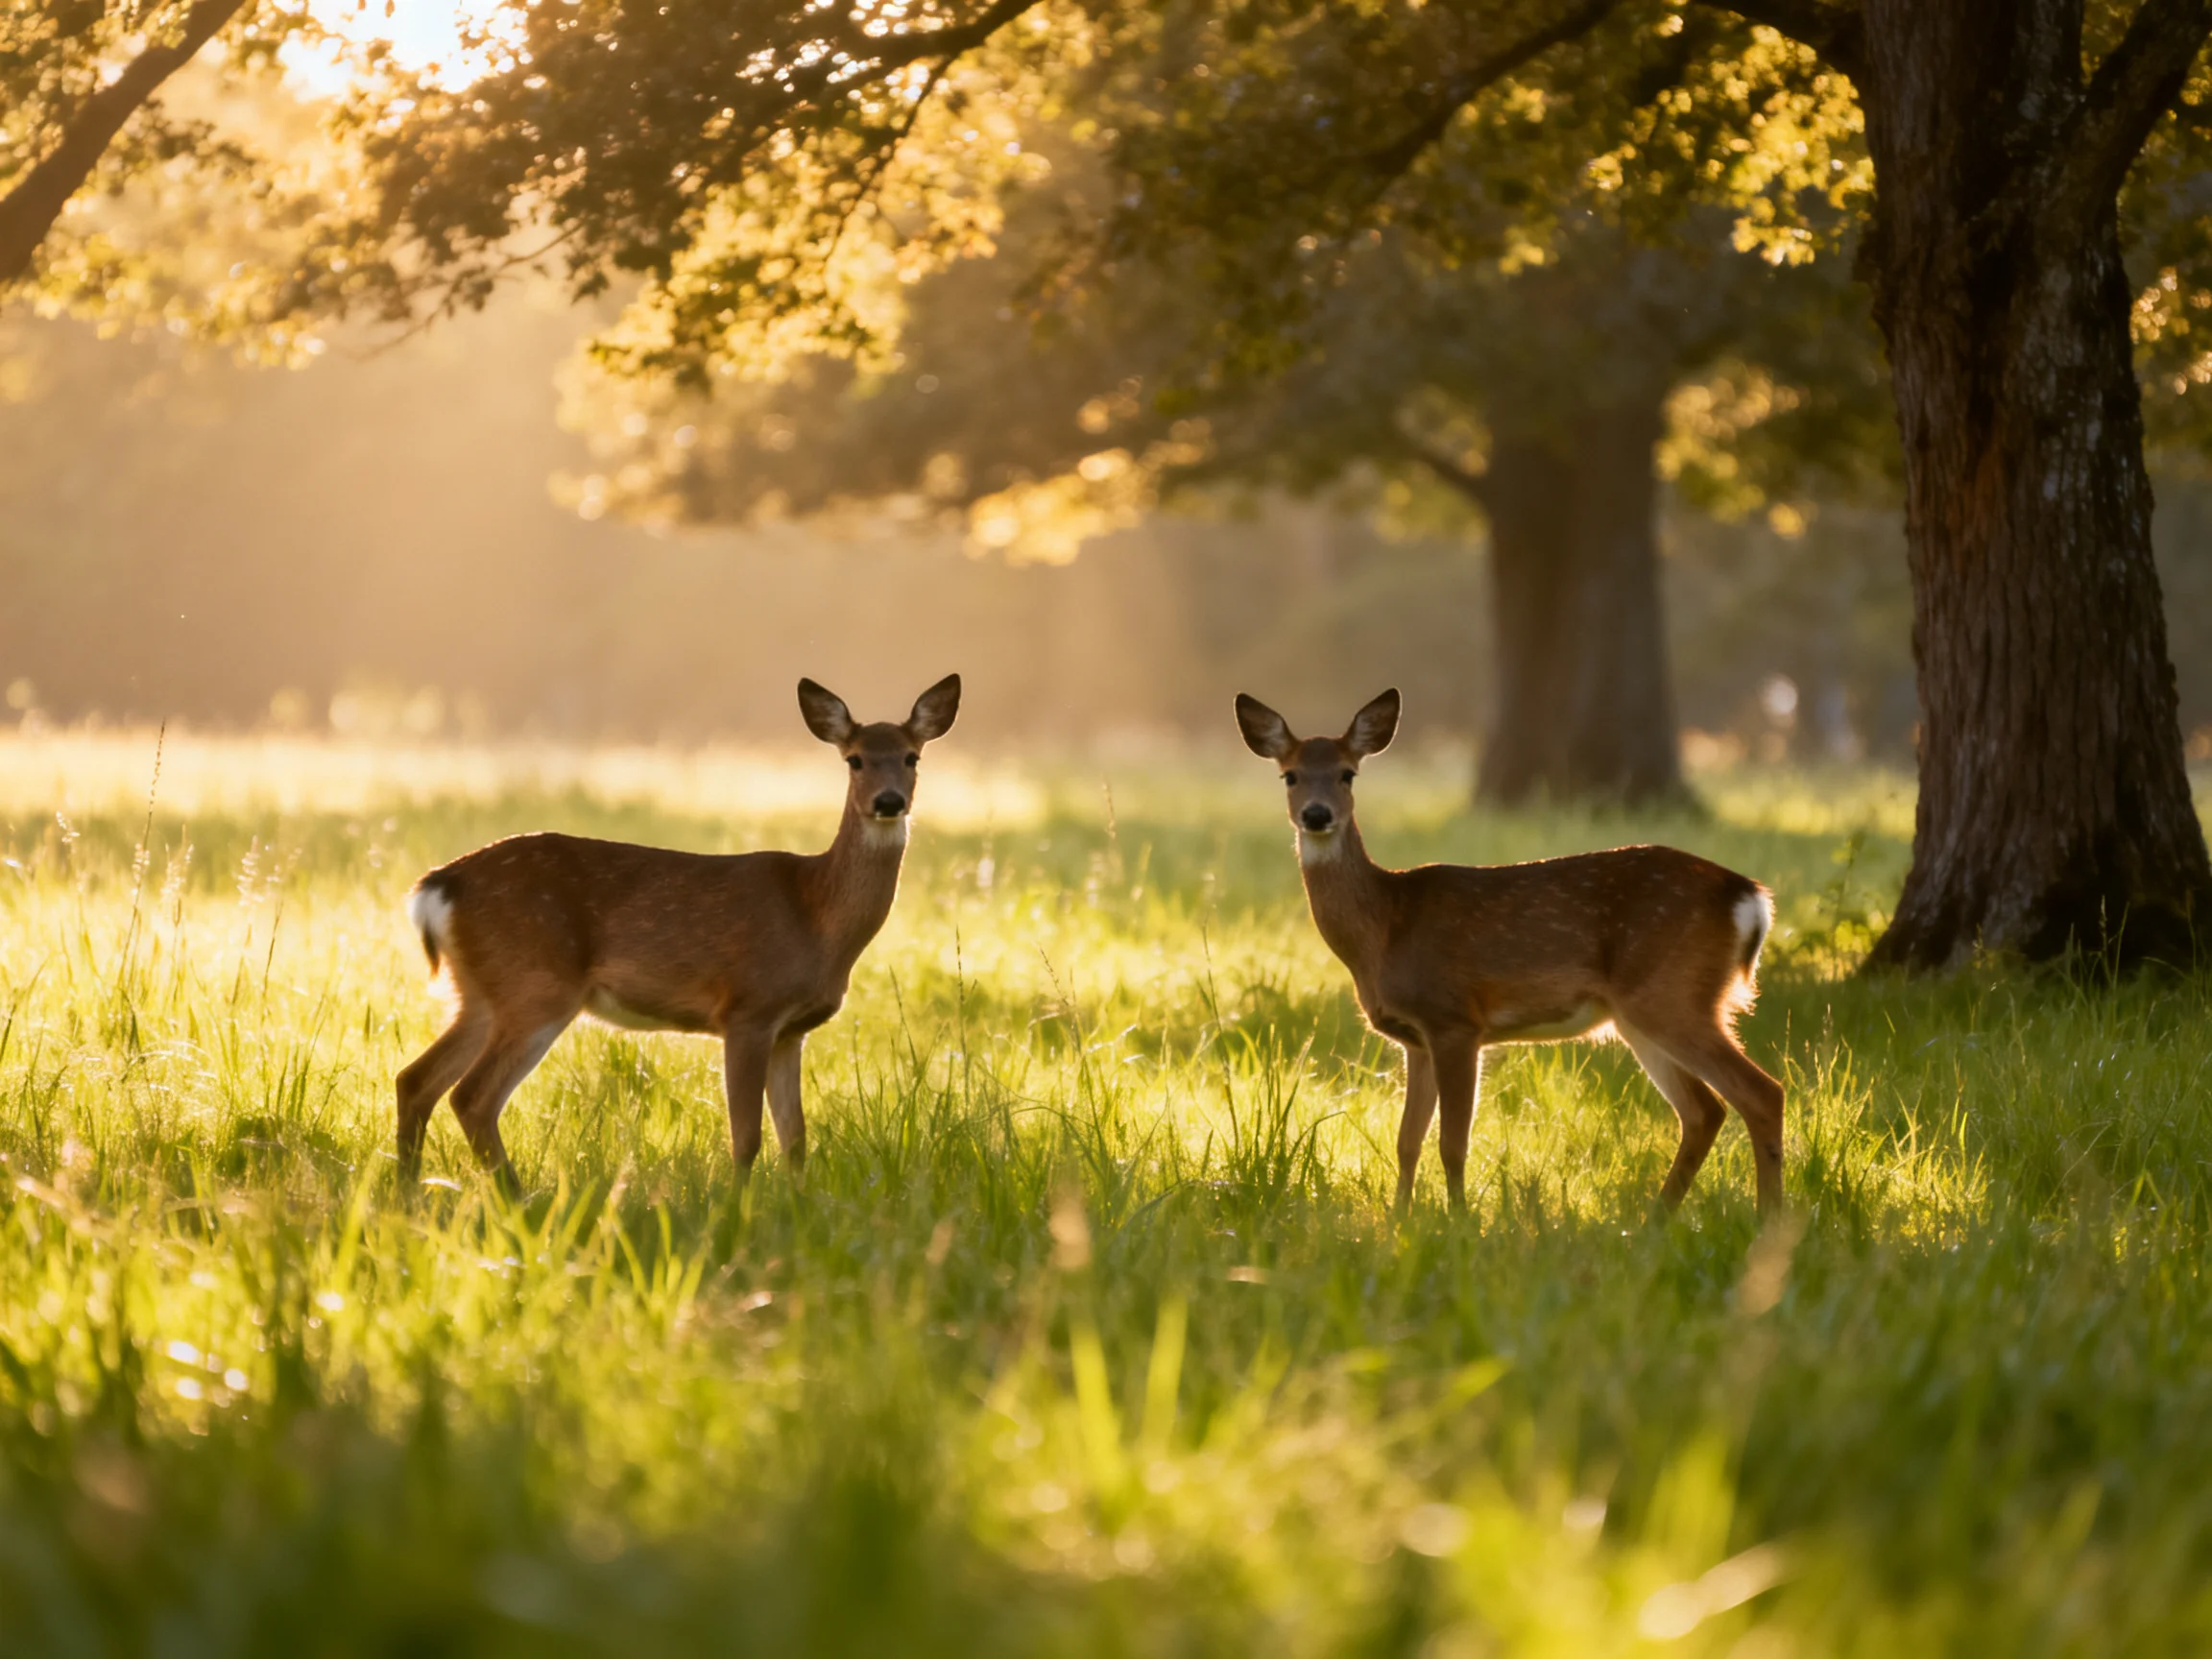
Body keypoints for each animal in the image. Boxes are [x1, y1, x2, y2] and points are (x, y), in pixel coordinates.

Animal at [394, 675, 961, 1190]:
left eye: (912, 757)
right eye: (855, 760)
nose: (888, 801)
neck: (816, 914)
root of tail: (438, 885)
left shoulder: (791, 1030)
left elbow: (795, 1139)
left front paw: (799, 1205)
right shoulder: (748, 1009)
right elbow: (747, 1137)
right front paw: (738, 1208)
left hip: (480, 992)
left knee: (415, 1079)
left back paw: (409, 1192)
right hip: (537, 985)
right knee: (472, 1096)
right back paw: (516, 1199)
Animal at [1234, 688, 1784, 1216]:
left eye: (1348, 773)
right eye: (1290, 775)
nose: (1317, 815)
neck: (1385, 928)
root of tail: (1750, 897)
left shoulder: (1455, 1020)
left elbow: (1452, 1143)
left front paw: (1459, 1222)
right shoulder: (1416, 1039)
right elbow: (1407, 1142)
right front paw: (1400, 1220)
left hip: (1672, 995)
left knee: (1760, 1092)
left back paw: (1769, 1218)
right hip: (1642, 1014)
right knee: (1704, 1110)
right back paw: (1657, 1218)